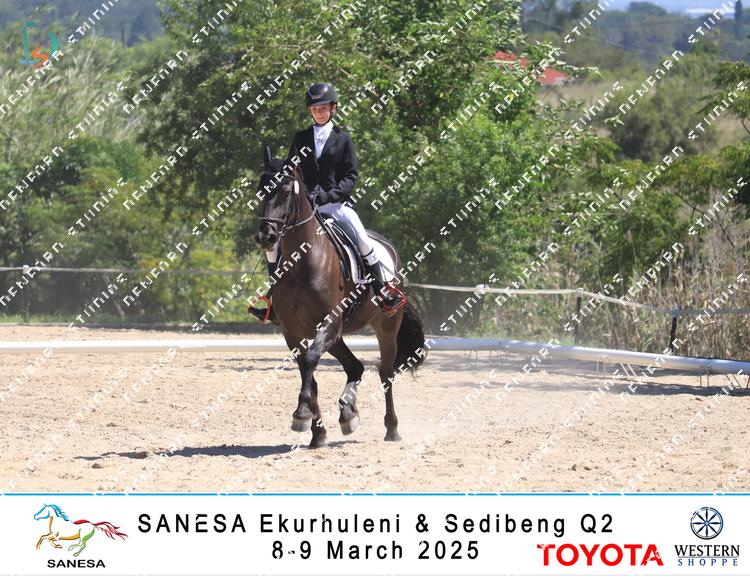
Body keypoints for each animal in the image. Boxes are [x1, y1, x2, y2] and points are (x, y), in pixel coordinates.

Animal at [253, 145, 427, 448]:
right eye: (261, 189)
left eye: (286, 190)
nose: (267, 237)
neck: (302, 263)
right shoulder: (293, 332)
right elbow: (309, 373)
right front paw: (316, 432)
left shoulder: (330, 323)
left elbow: (311, 361)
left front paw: (301, 414)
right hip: (337, 336)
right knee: (355, 367)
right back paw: (348, 413)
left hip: (385, 326)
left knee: (385, 373)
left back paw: (391, 428)